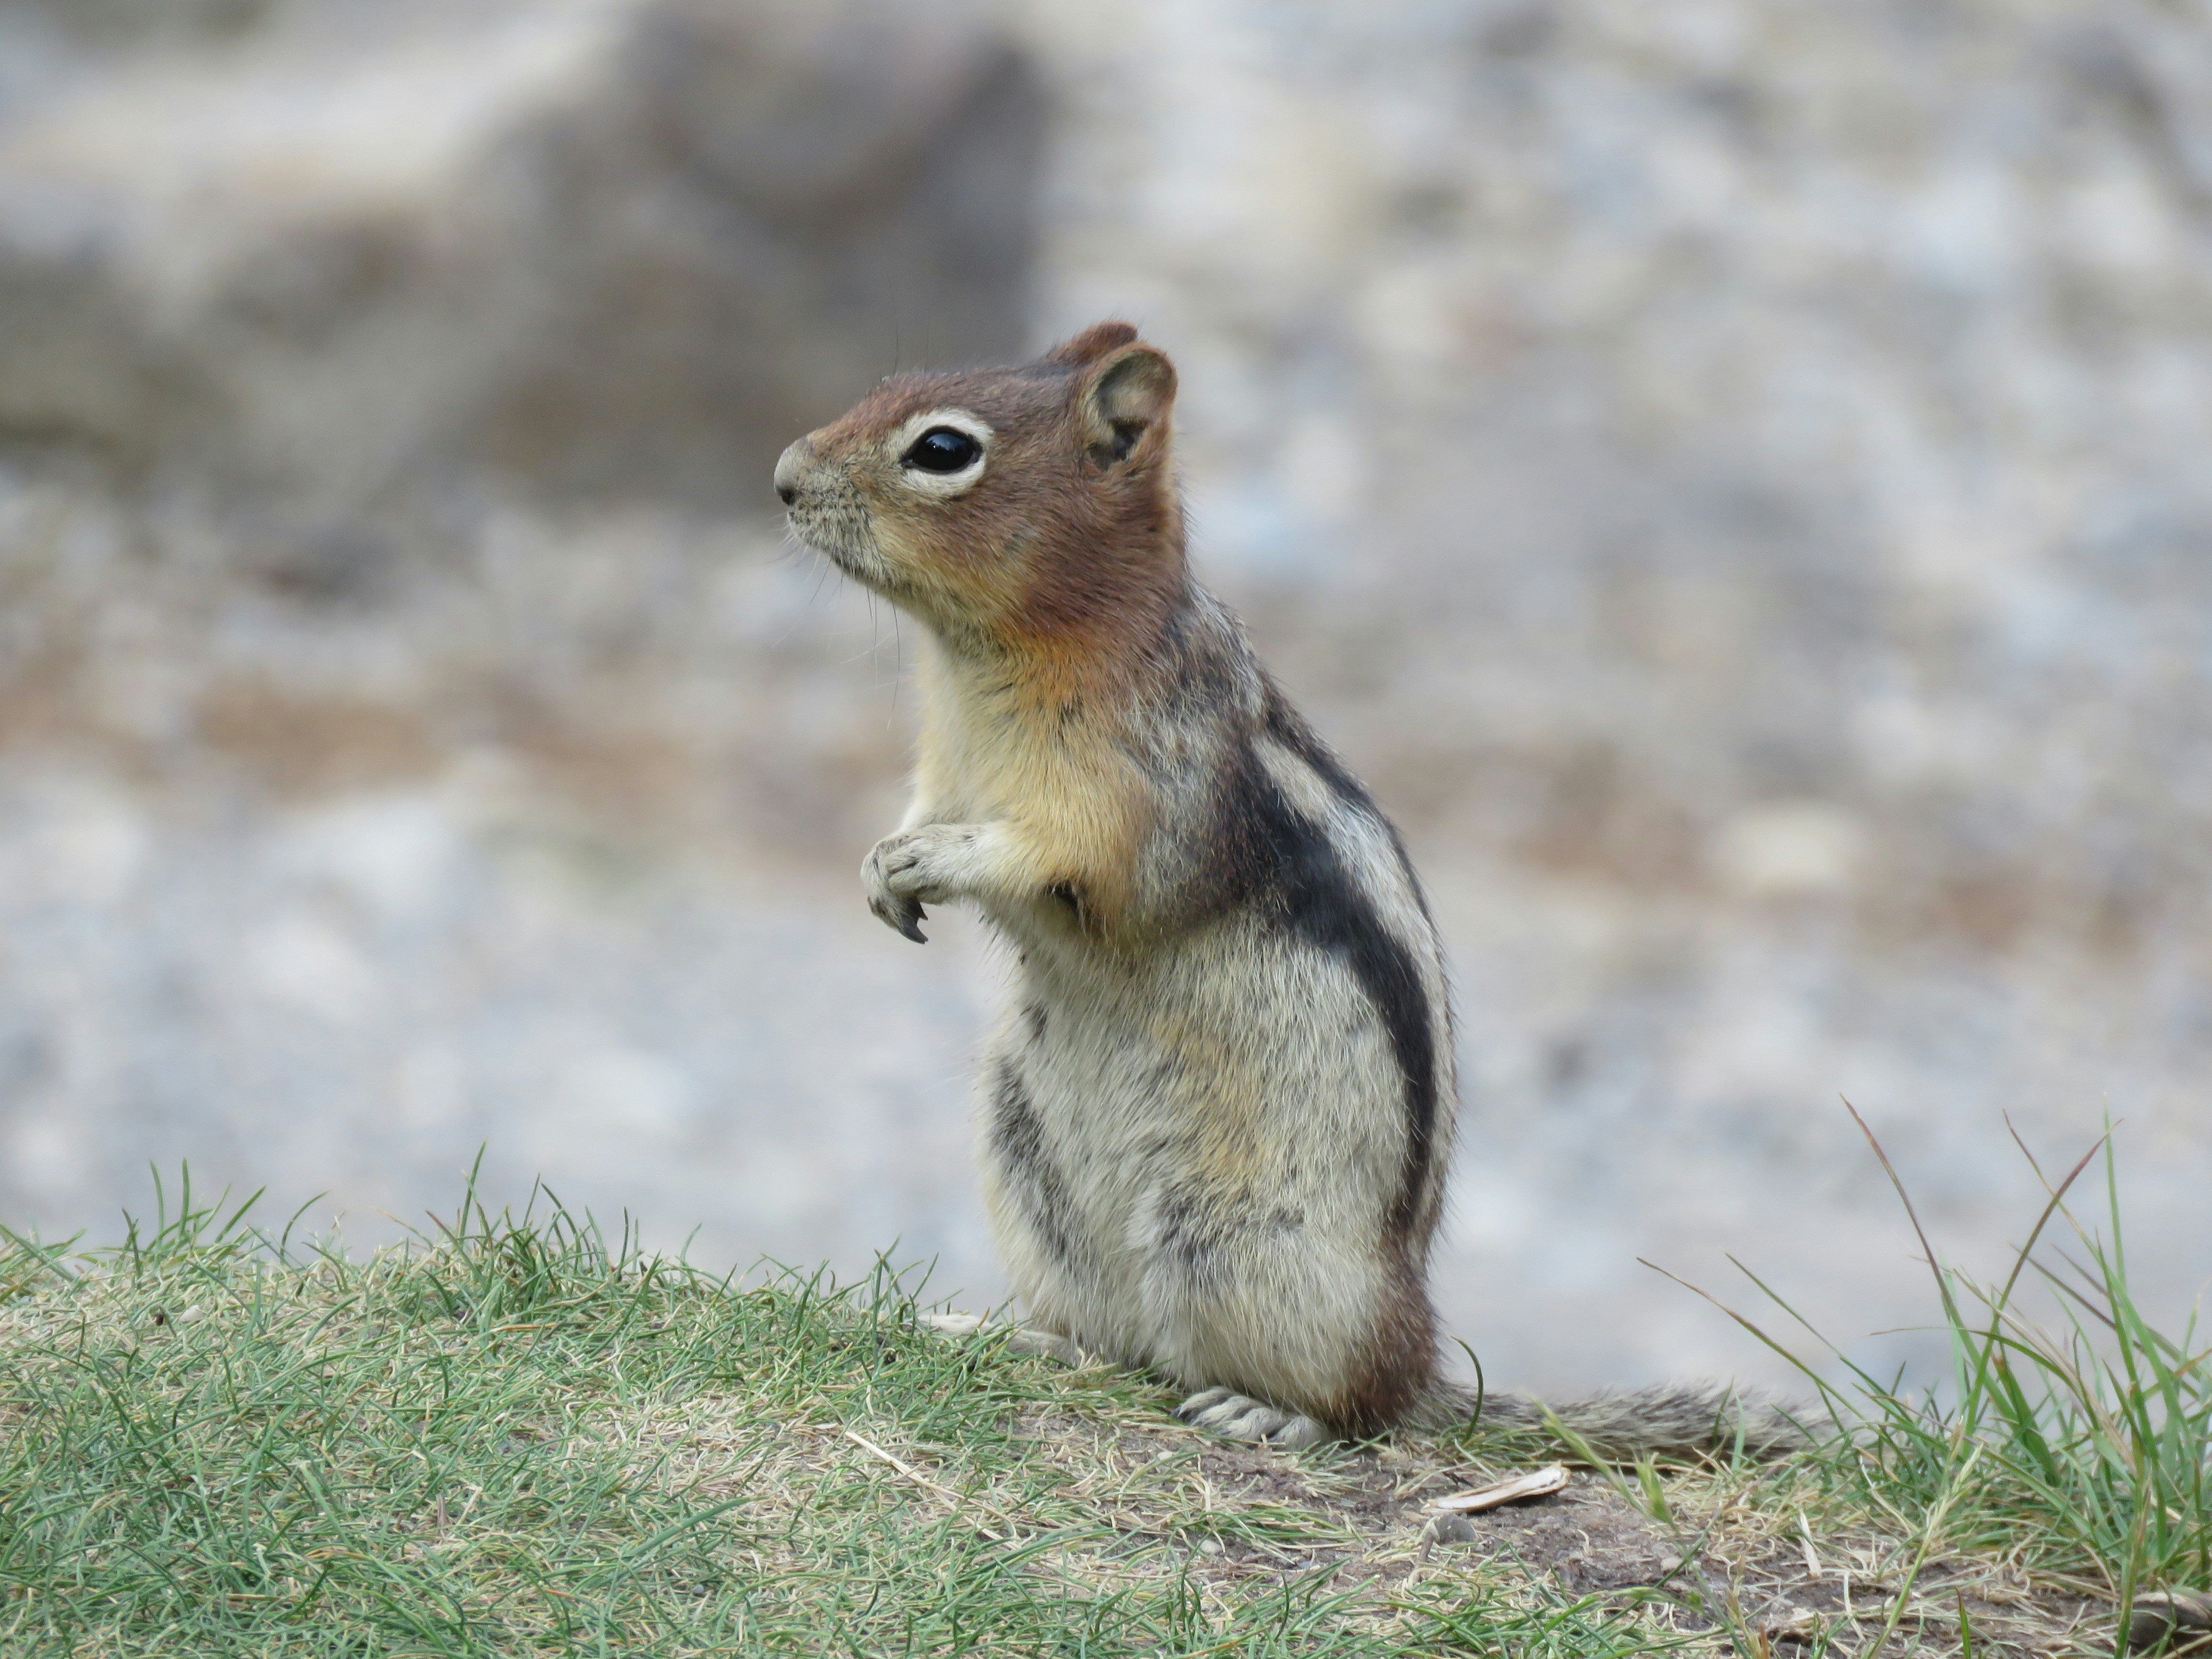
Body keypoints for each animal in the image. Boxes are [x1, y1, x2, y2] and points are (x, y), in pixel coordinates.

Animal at [776, 321, 1801, 1458]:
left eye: (943, 450)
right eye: (889, 384)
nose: (783, 478)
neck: (983, 663)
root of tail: (1420, 1348)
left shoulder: (1146, 789)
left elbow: (1089, 870)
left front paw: (938, 862)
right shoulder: (944, 770)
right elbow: (917, 810)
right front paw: (881, 863)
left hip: (1252, 1243)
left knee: (1359, 1398)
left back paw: (1269, 1410)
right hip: (1027, 1167)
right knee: (1112, 1343)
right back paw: (1013, 1334)